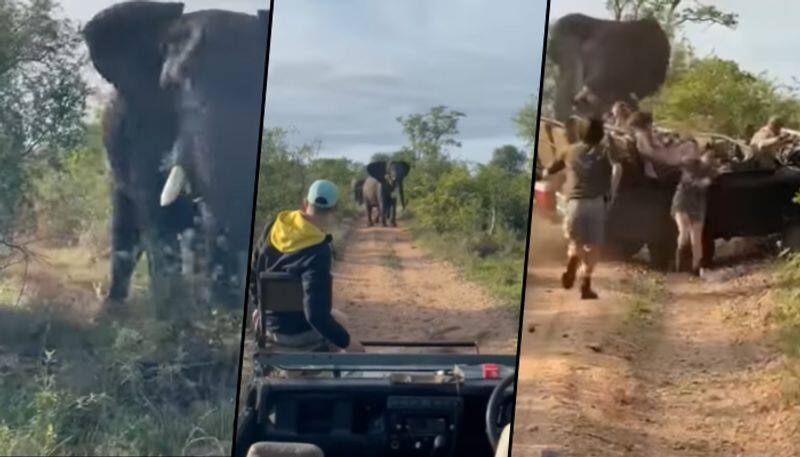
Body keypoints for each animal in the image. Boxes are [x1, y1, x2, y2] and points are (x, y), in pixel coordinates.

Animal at [85, 1, 268, 310]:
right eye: (171, 87)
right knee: (125, 229)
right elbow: (156, 216)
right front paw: (173, 316)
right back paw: (112, 311)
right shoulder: (143, 128)